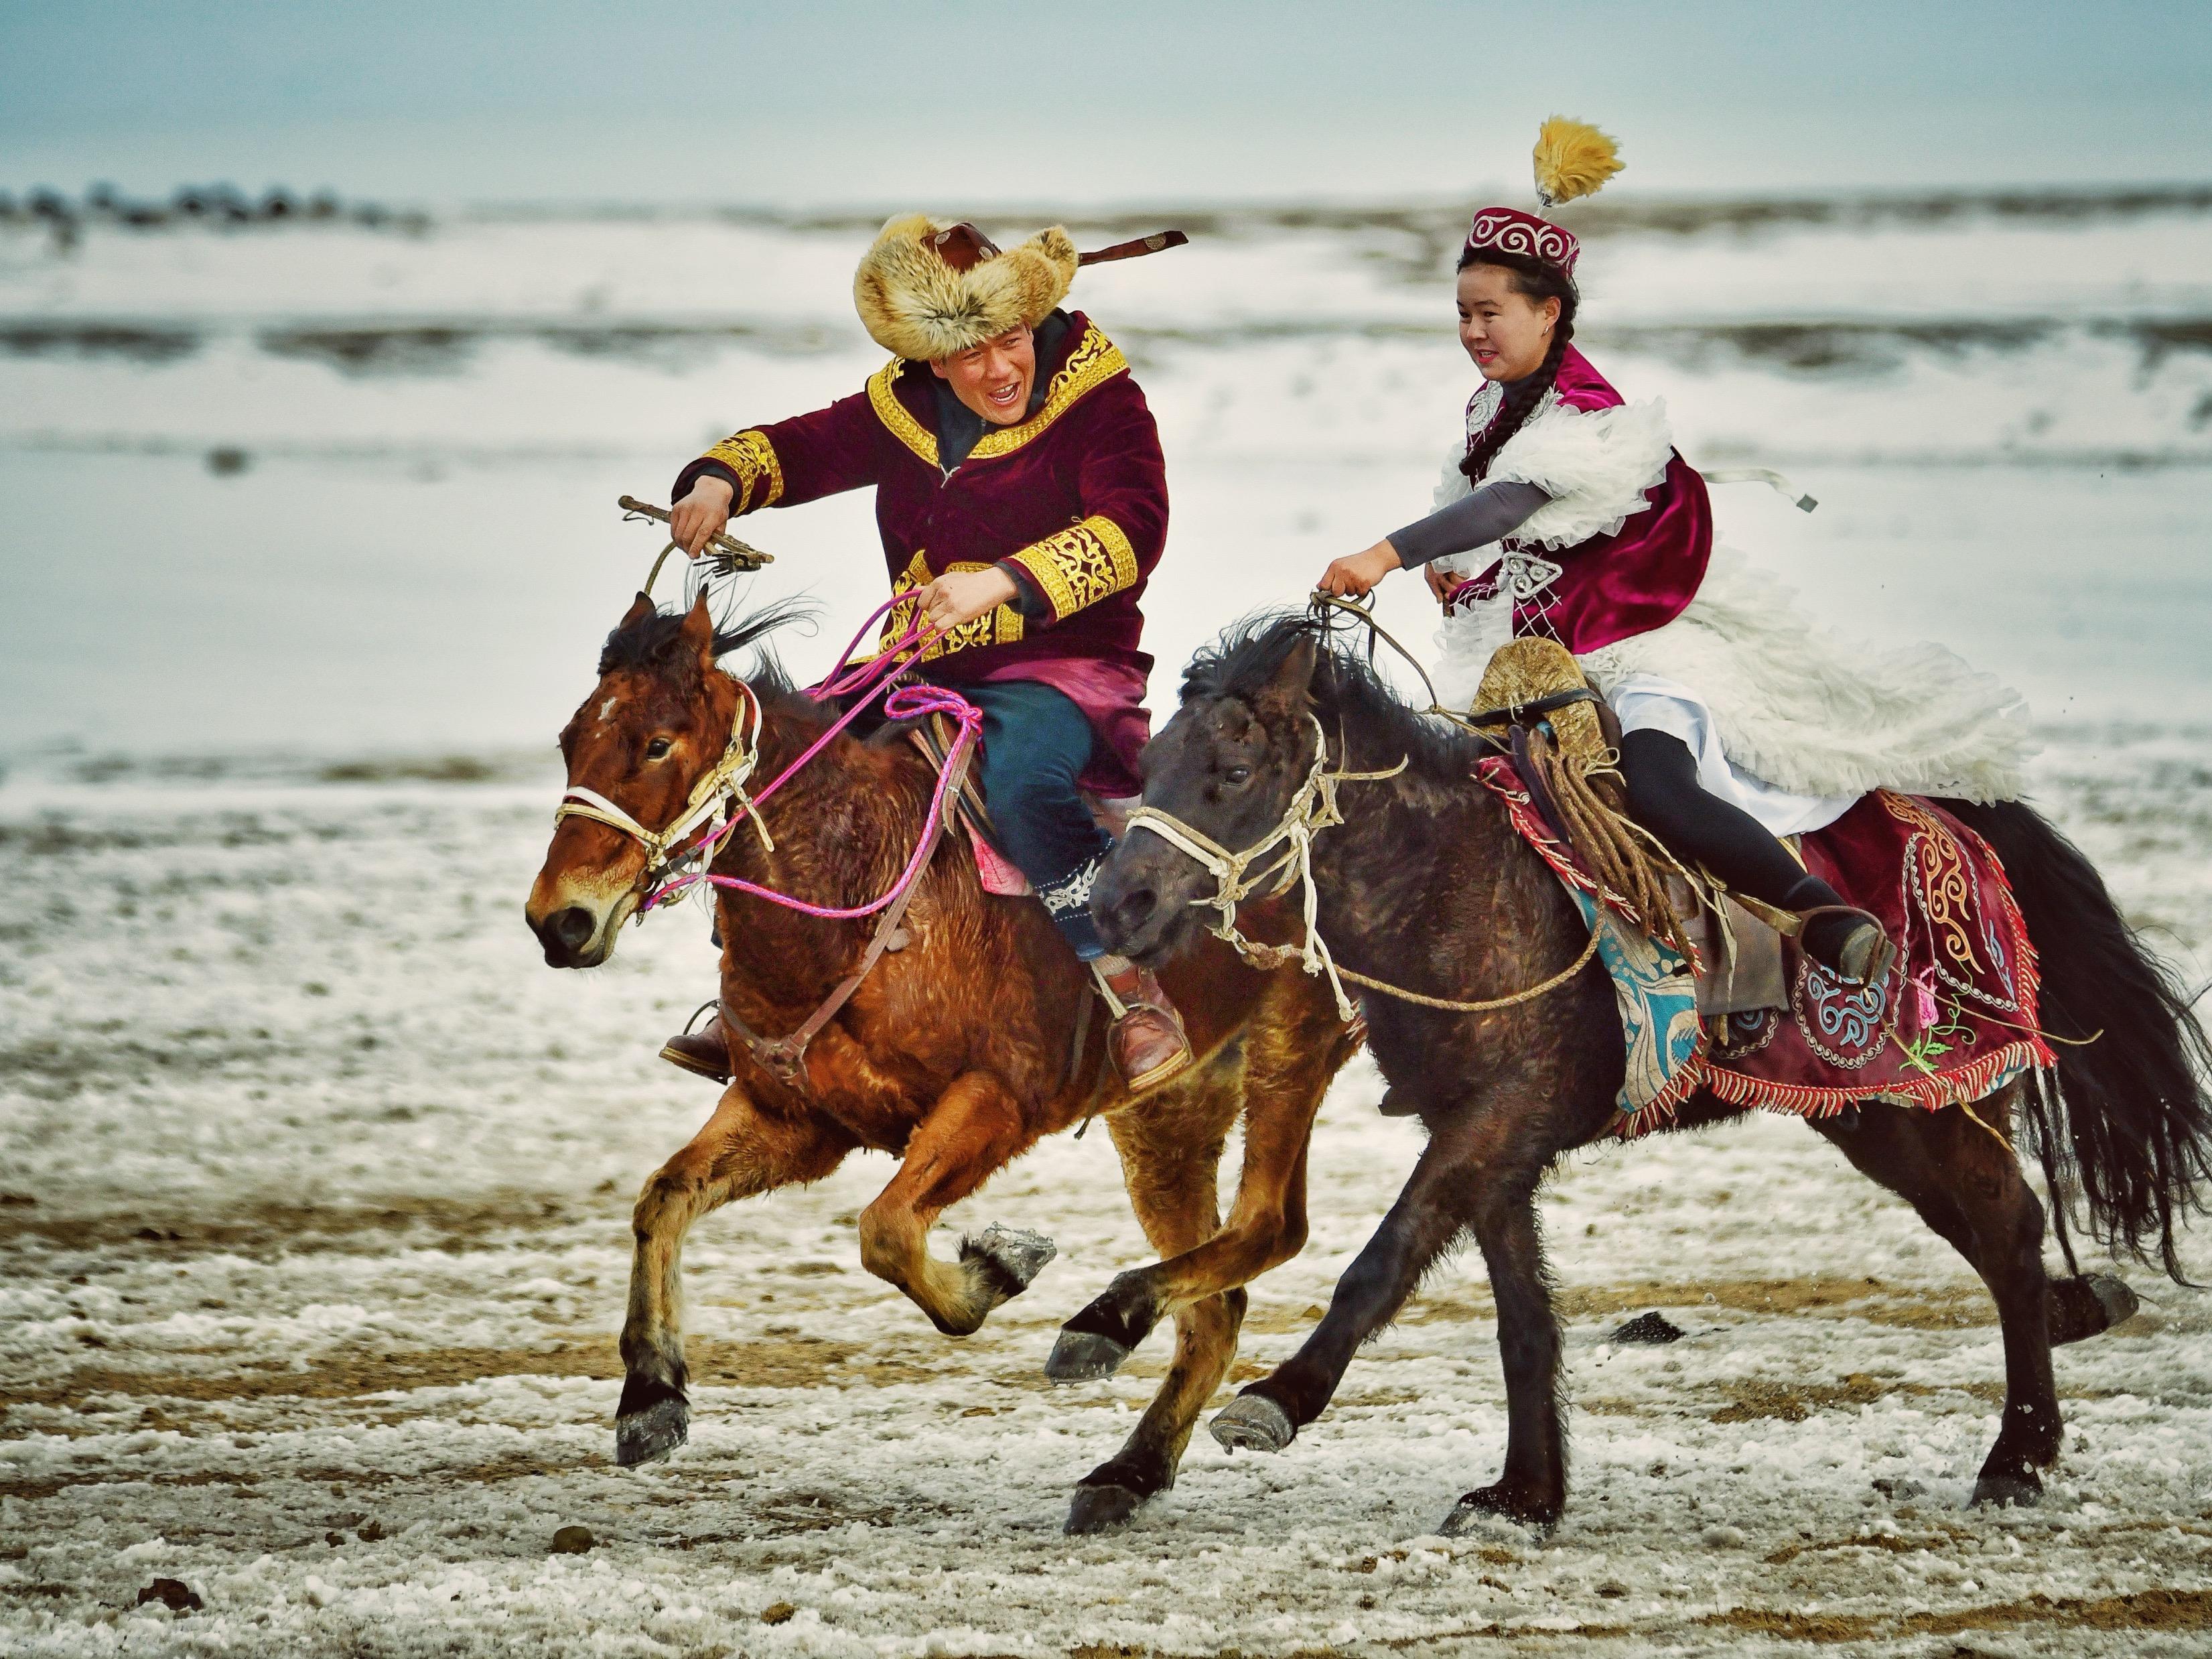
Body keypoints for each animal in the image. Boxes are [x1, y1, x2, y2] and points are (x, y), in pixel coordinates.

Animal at [522, 592, 1363, 1530]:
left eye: (659, 743)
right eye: (570, 739)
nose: (558, 921)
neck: (860, 886)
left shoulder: (994, 1103)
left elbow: (886, 1230)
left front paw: (998, 1265)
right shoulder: (793, 1119)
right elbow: (662, 1198)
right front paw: (649, 1395)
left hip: (1289, 1053)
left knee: (1270, 1229)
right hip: (1166, 1116)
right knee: (1216, 1306)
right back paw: (1127, 1470)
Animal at [1088, 619, 2212, 1539]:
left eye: (1232, 769)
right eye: (1150, 763)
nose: (1115, 905)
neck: (1454, 883)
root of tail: (1966, 831)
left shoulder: (1498, 1118)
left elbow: (1382, 1260)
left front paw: (1272, 1398)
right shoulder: (1489, 1137)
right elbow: (1522, 1317)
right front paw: (1523, 1497)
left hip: (1931, 1107)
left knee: (2010, 1232)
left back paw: (2015, 1459)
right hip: (1880, 1121)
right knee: (1995, 1232)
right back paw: (2052, 1381)